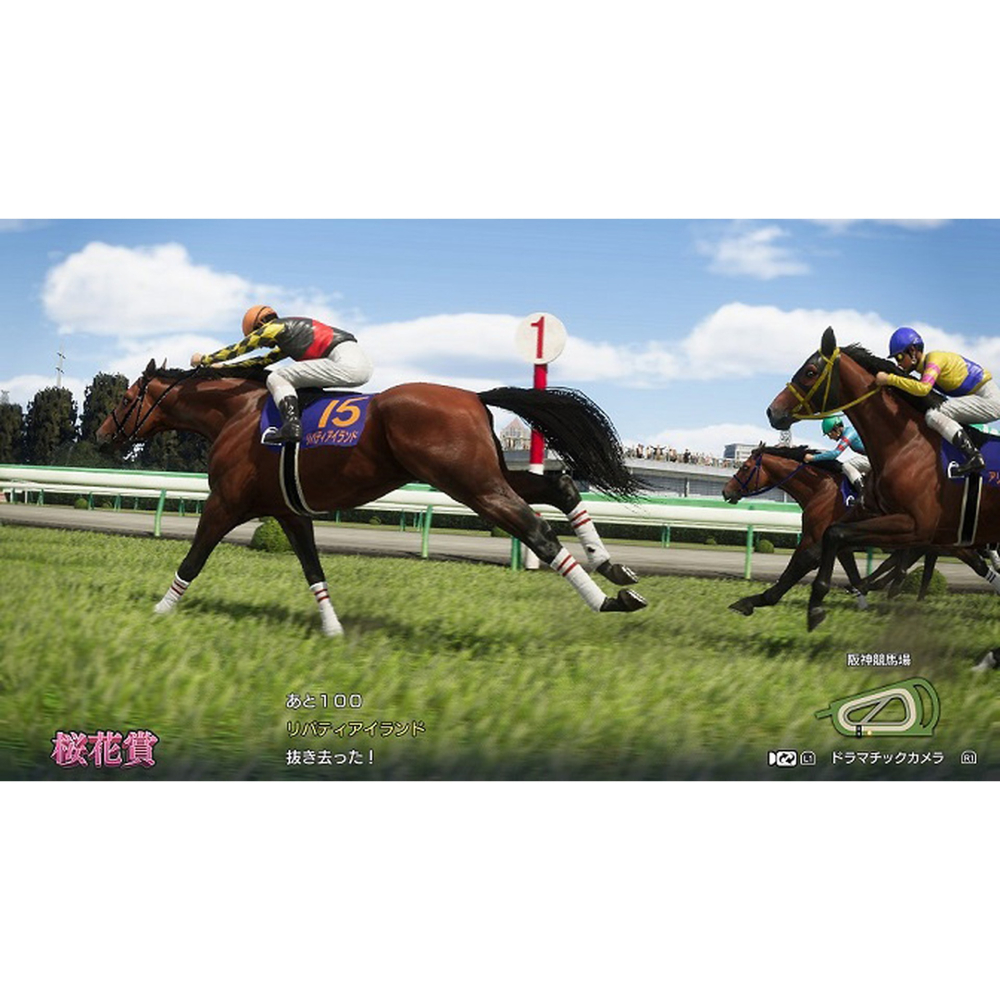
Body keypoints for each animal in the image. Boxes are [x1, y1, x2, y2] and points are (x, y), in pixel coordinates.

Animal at [96, 361, 648, 636]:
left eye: (128, 398)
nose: (103, 435)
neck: (239, 412)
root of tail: (473, 396)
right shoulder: (288, 513)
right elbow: (313, 569)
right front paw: (333, 629)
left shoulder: (225, 504)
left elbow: (193, 559)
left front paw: (159, 611)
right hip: (486, 474)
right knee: (560, 486)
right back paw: (614, 567)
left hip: (471, 485)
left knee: (536, 531)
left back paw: (608, 600)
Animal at [767, 326, 1000, 632]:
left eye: (809, 371)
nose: (772, 411)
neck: (906, 444)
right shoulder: (875, 515)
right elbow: (821, 545)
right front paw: (757, 601)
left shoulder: (916, 525)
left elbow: (838, 536)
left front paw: (820, 602)